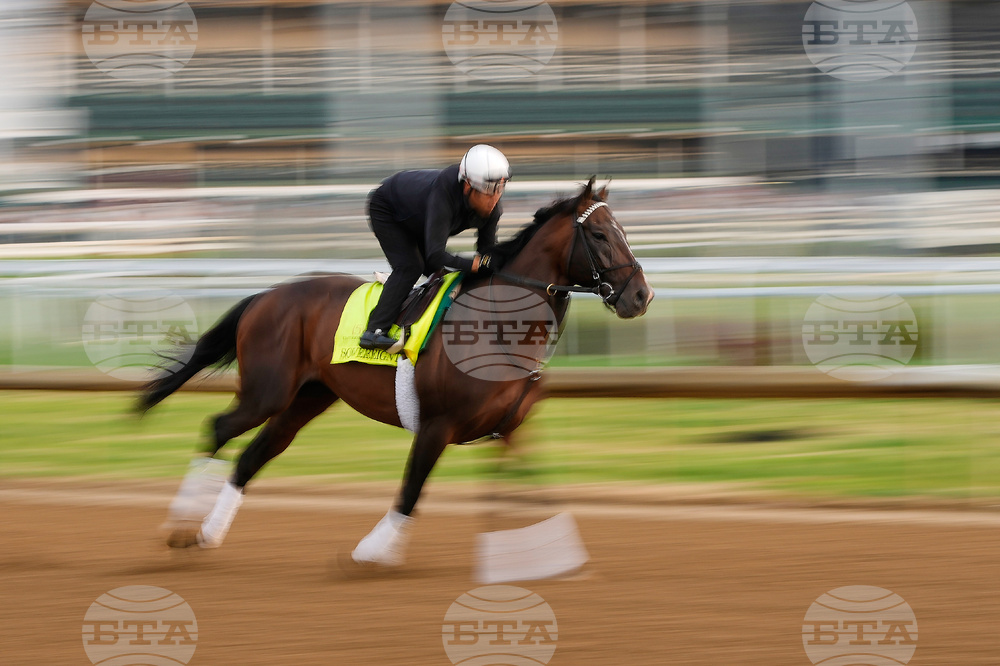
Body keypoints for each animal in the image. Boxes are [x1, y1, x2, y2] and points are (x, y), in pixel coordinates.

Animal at [138, 177, 653, 566]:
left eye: (623, 229)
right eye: (601, 235)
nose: (641, 296)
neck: (499, 325)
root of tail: (266, 294)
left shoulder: (510, 428)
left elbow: (536, 490)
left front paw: (557, 555)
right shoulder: (437, 425)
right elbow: (411, 490)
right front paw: (372, 550)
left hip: (306, 398)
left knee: (252, 456)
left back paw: (208, 532)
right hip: (266, 391)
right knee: (219, 427)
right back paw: (179, 524)